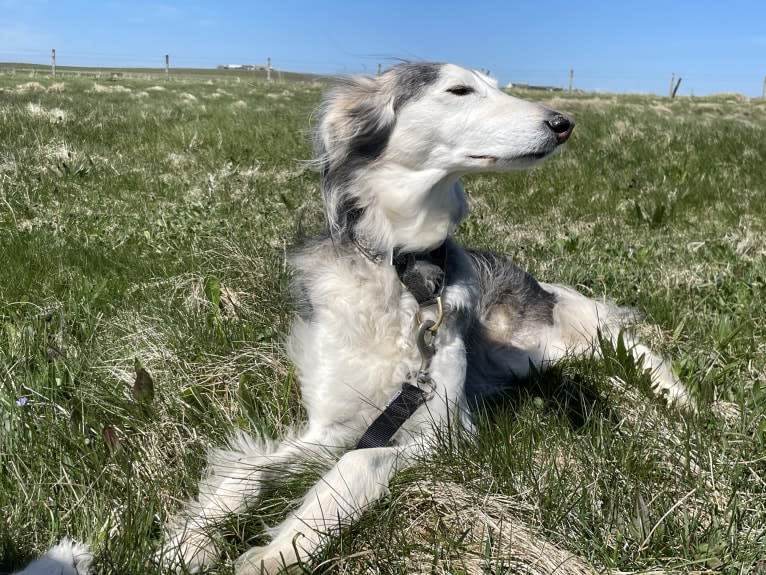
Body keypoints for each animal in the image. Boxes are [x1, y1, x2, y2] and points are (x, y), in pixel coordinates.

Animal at [160, 60, 688, 572]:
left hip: (541, 347)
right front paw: (192, 541)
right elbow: (249, 472)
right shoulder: (332, 428)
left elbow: (361, 462)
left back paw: (679, 398)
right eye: (459, 90)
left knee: (620, 341)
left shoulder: (445, 433)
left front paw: (281, 549)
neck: (405, 270)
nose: (564, 123)